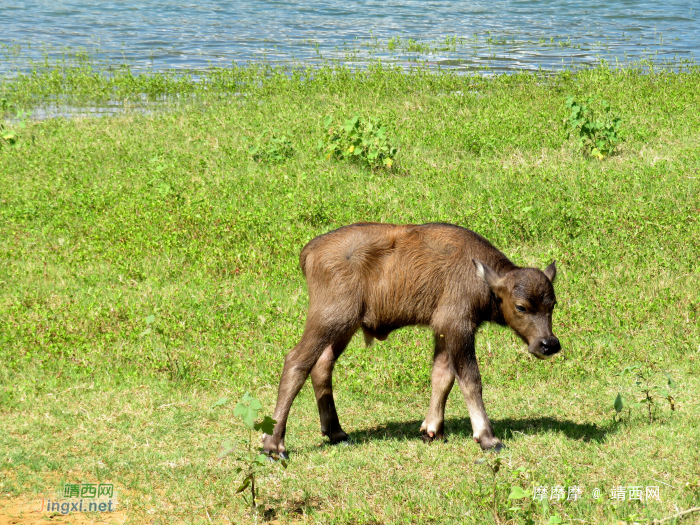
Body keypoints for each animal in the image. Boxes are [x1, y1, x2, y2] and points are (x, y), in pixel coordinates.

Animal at [260, 223, 560, 456]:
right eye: (521, 307)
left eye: (552, 304)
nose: (548, 344)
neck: (482, 279)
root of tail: (309, 251)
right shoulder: (458, 327)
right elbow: (470, 380)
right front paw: (487, 438)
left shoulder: (442, 331)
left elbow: (442, 376)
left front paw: (432, 429)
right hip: (330, 319)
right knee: (296, 362)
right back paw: (273, 444)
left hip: (345, 327)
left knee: (322, 365)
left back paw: (336, 432)